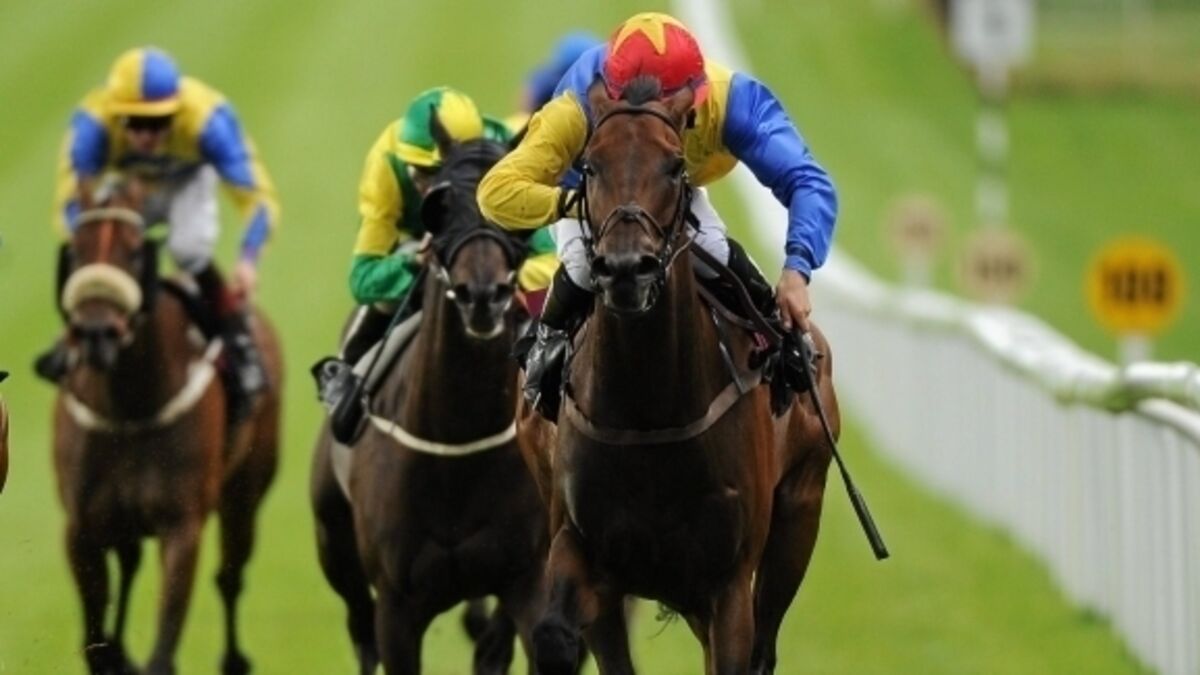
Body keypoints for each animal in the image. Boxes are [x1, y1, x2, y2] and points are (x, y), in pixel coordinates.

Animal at [52, 179, 282, 675]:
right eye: (75, 250)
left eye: (136, 251)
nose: (96, 333)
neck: (128, 409)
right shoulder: (80, 529)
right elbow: (96, 643)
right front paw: (116, 653)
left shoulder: (182, 527)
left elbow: (162, 651)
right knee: (130, 562)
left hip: (244, 494)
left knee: (229, 576)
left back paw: (234, 658)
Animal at [309, 122, 558, 674]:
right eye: (440, 208)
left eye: (516, 215)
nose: (482, 295)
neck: (457, 446)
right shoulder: (397, 609)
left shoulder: (530, 585)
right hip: (334, 544)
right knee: (360, 630)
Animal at [529, 78, 840, 675]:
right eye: (590, 166)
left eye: (674, 166)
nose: (627, 269)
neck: (649, 408)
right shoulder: (582, 551)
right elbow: (555, 636)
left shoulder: (727, 587)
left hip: (799, 514)